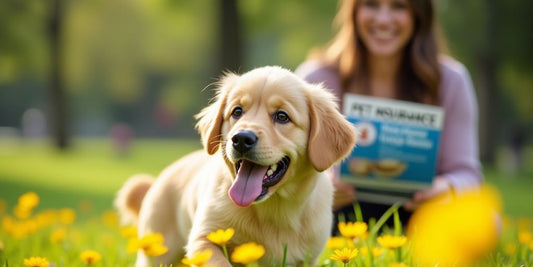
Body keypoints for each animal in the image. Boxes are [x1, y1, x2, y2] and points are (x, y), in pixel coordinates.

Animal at [116, 66, 358, 266]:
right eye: (237, 112)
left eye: (282, 116)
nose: (241, 139)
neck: (273, 207)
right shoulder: (204, 239)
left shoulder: (307, 258)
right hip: (156, 249)